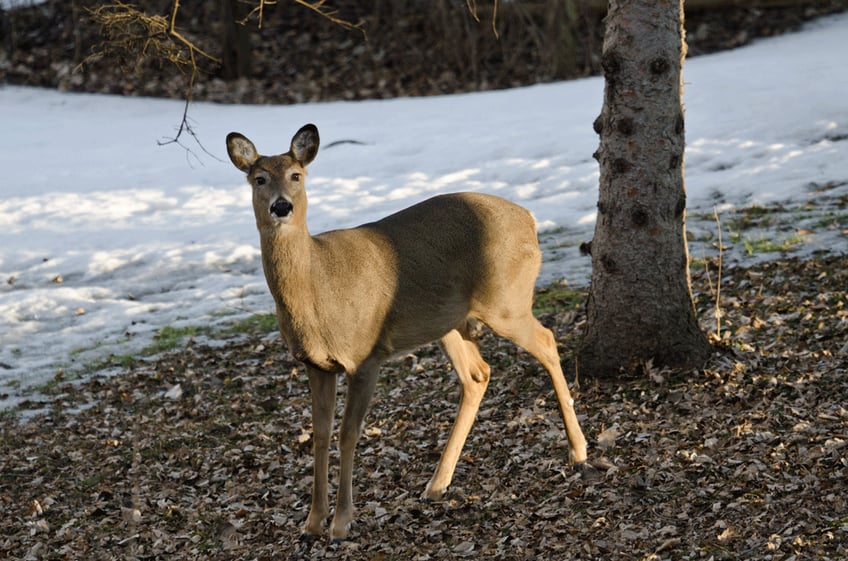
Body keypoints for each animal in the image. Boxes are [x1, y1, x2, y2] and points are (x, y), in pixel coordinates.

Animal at [226, 124, 589, 541]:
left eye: (296, 175)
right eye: (259, 178)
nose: (281, 206)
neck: (317, 287)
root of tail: (530, 219)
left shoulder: (365, 356)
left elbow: (348, 433)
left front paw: (341, 521)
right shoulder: (315, 364)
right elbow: (319, 434)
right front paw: (312, 522)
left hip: (506, 302)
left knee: (546, 341)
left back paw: (579, 450)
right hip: (448, 321)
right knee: (478, 374)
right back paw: (437, 484)